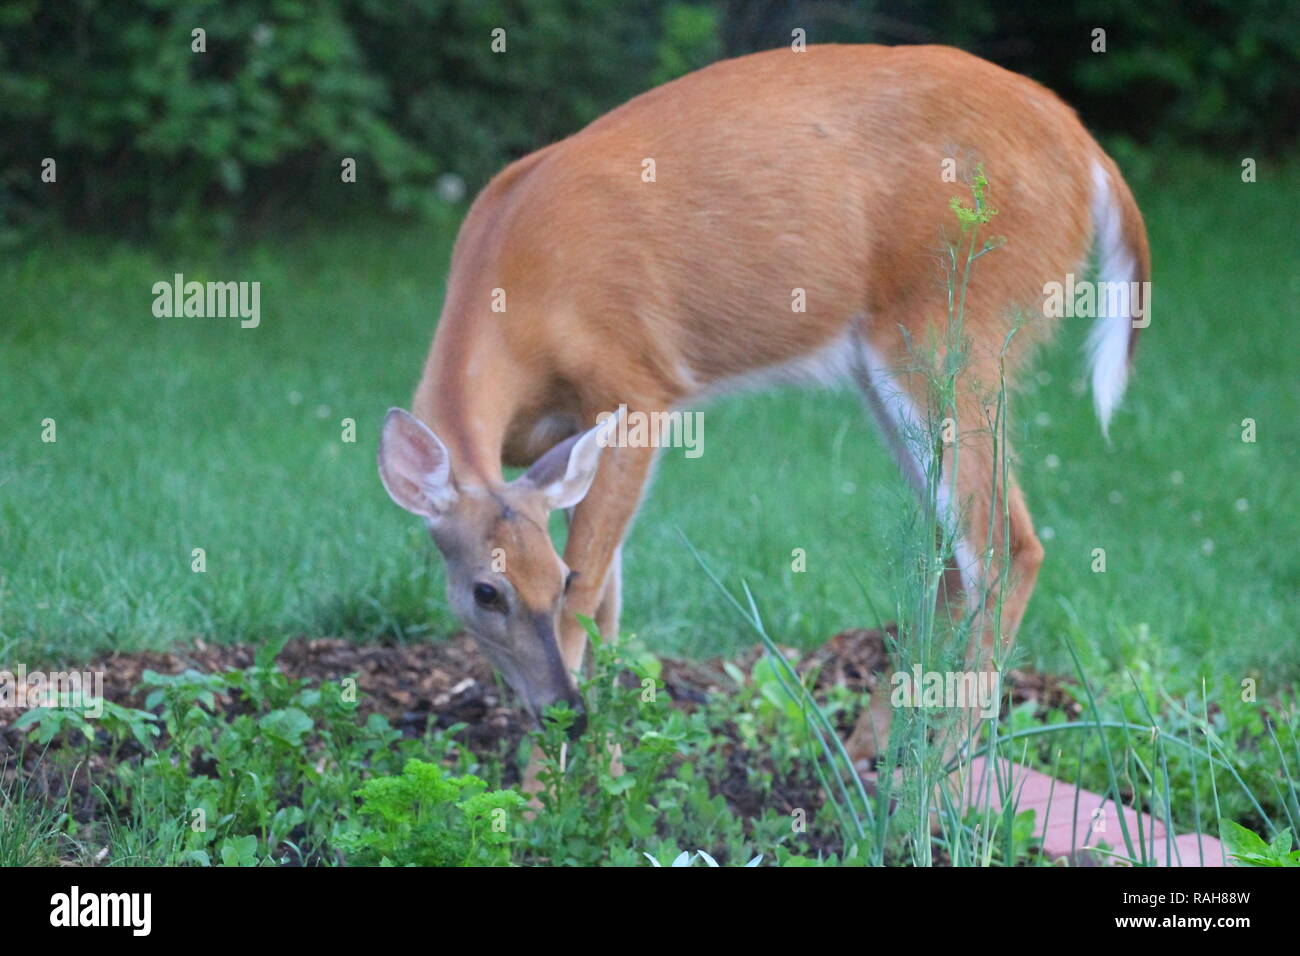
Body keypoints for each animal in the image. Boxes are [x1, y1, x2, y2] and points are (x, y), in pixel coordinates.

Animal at [377, 44, 1149, 781]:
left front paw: (545, 790)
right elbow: (610, 599)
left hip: (957, 326)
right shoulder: (568, 441)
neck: (516, 296)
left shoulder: (638, 389)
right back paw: (871, 748)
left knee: (1005, 545)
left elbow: (592, 592)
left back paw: (937, 780)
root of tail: (1089, 152)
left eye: (544, 583)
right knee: (950, 552)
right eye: (485, 592)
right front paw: (609, 773)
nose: (565, 715)